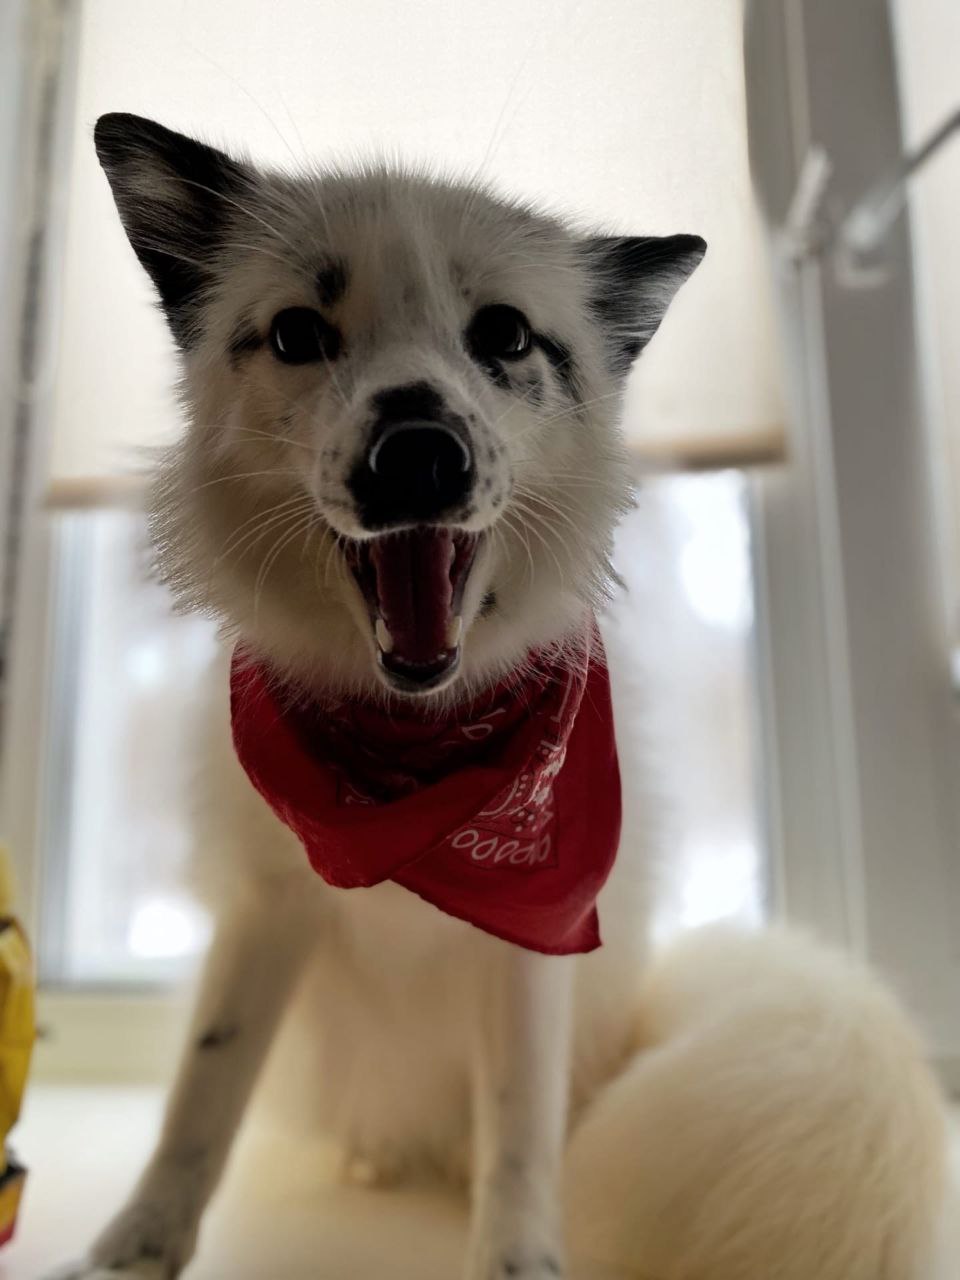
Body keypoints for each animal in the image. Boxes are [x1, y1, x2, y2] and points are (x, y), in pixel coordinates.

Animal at [48, 113, 946, 1280]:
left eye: (507, 335)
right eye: (296, 332)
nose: (417, 456)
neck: (410, 753)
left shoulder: (534, 940)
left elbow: (518, 1136)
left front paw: (519, 1255)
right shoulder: (265, 910)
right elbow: (201, 1095)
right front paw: (131, 1251)